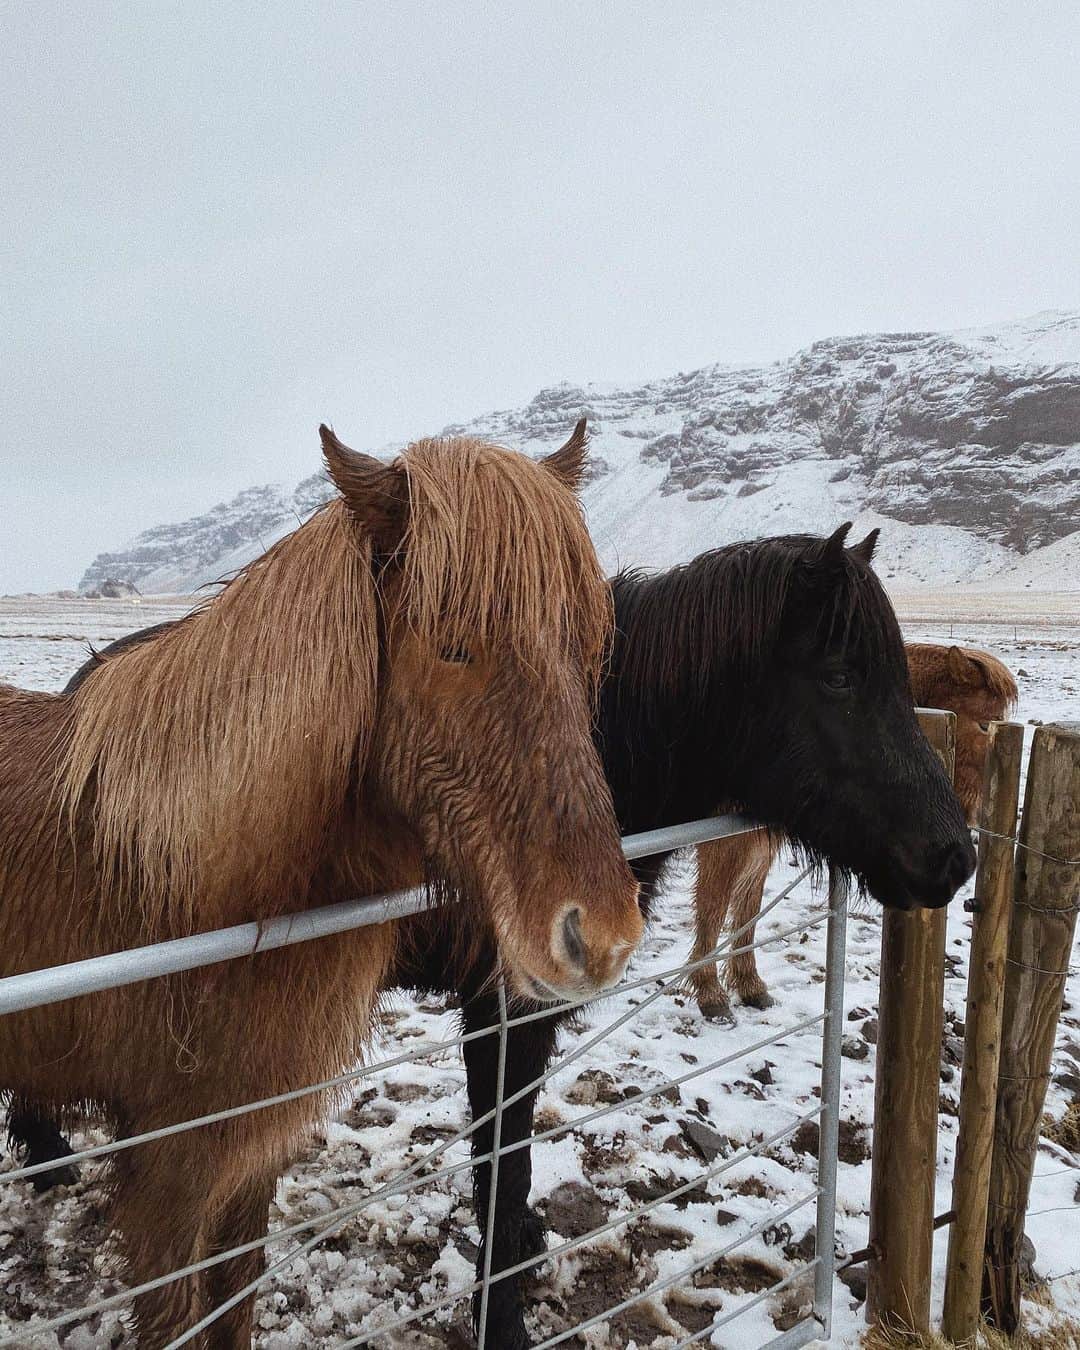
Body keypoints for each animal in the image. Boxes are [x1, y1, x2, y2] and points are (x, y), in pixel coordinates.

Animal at [0, 421, 644, 1348]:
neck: (191, 886)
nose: (602, 937)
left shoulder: (244, 1162)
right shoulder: (168, 1180)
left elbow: (234, 1302)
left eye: (587, 646)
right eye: (452, 644)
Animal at [8, 524, 977, 1349]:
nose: (953, 858)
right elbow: (500, 1161)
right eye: (841, 678)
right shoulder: (503, 1006)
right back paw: (48, 1155)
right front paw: (500, 1311)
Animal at [688, 642, 1019, 1020]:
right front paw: (709, 991)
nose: (978, 817)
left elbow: (748, 908)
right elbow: (713, 908)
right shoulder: (722, 843)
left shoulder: (758, 843)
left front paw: (749, 985)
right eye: (984, 723)